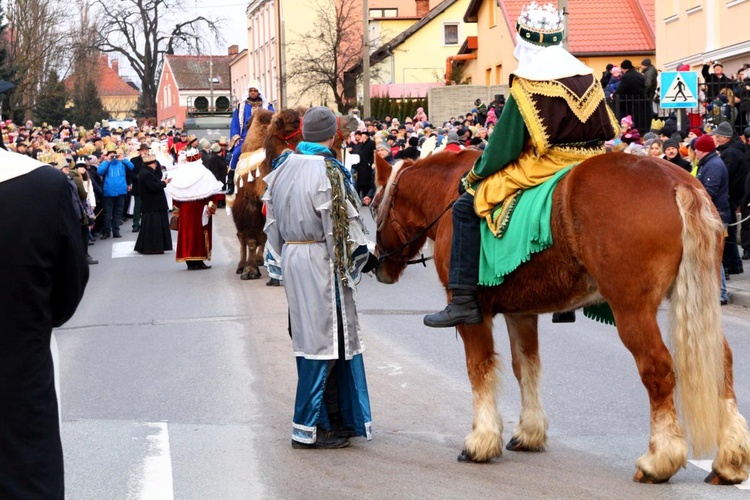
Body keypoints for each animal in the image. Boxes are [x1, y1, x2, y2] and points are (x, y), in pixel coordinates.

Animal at [374, 149, 750, 484]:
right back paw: (729, 459)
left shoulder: (472, 314)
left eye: (373, 202)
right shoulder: (521, 312)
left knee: (657, 368)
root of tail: (678, 180)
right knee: (722, 363)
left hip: (632, 309)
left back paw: (659, 459)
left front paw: (481, 441)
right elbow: (525, 366)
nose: (378, 265)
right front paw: (529, 432)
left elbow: (479, 369)